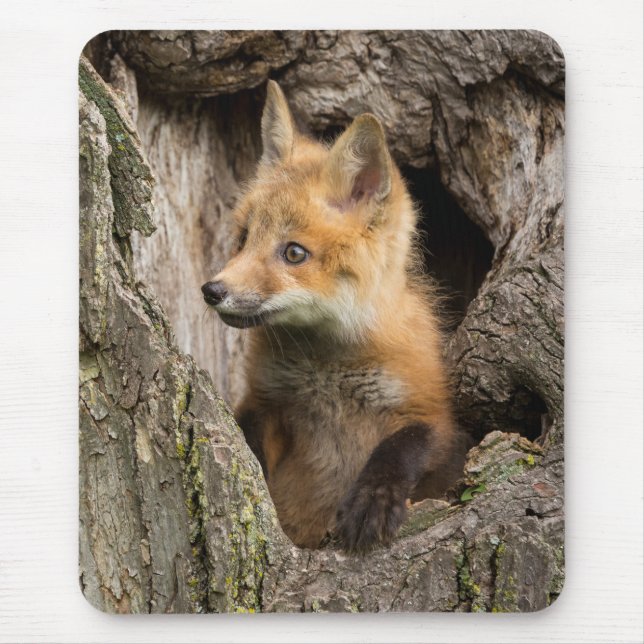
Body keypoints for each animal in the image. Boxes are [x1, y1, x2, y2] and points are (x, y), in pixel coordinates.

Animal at [202, 80, 462, 552]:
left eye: (293, 253)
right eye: (244, 237)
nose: (213, 290)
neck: (326, 372)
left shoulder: (434, 412)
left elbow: (402, 446)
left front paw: (373, 500)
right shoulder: (266, 401)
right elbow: (249, 441)